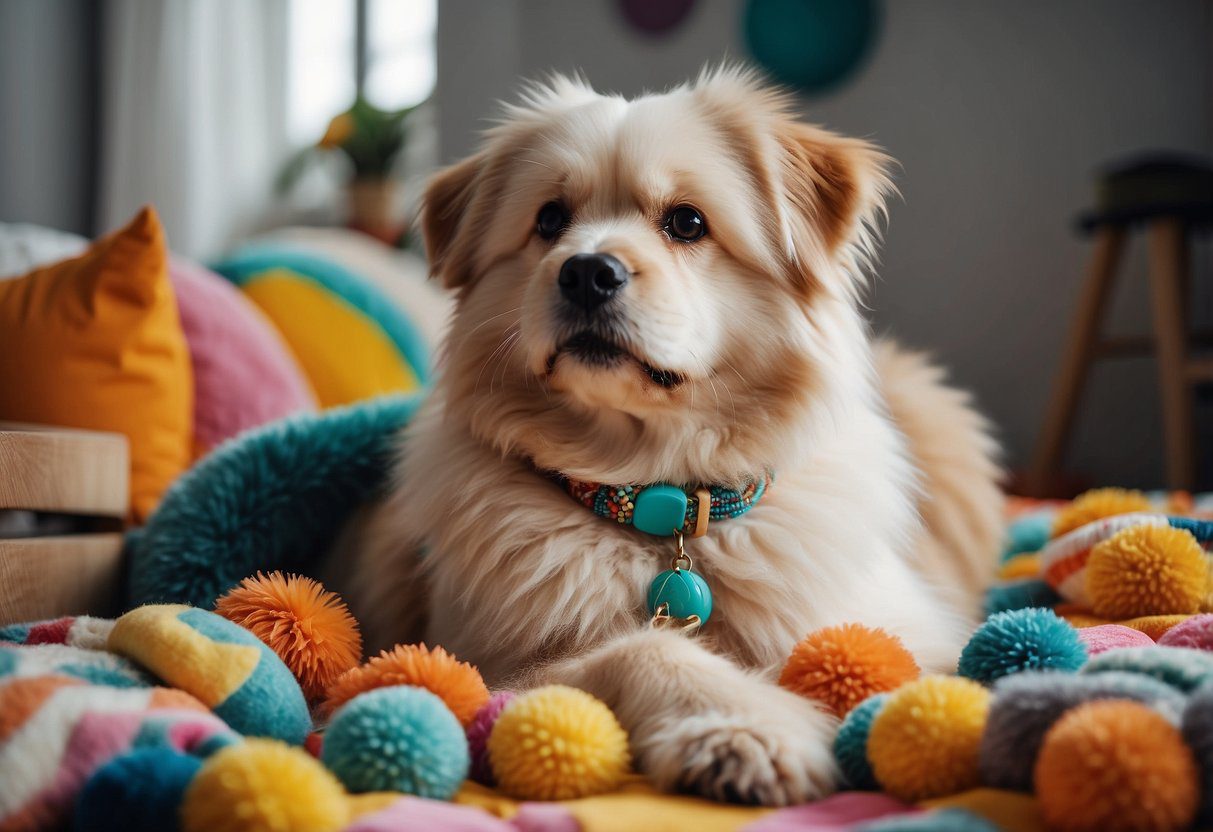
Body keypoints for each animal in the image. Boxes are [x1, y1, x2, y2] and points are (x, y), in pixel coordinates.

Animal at [337, 68, 999, 810]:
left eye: (687, 222)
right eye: (549, 221)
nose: (586, 271)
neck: (659, 503)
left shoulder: (917, 635)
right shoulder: (479, 665)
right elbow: (642, 647)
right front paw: (746, 726)